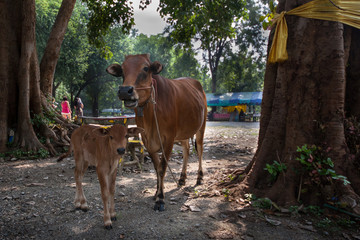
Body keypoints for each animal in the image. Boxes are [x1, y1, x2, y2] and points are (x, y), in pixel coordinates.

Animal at [105, 53, 207, 211]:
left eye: (146, 68)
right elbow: (156, 167)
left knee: (200, 150)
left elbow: (162, 168)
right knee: (186, 150)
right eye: (122, 71)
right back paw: (182, 179)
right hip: (183, 132)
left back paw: (199, 177)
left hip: (201, 126)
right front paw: (157, 192)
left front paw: (160, 199)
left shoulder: (168, 140)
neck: (150, 114)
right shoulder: (147, 140)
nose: (125, 91)